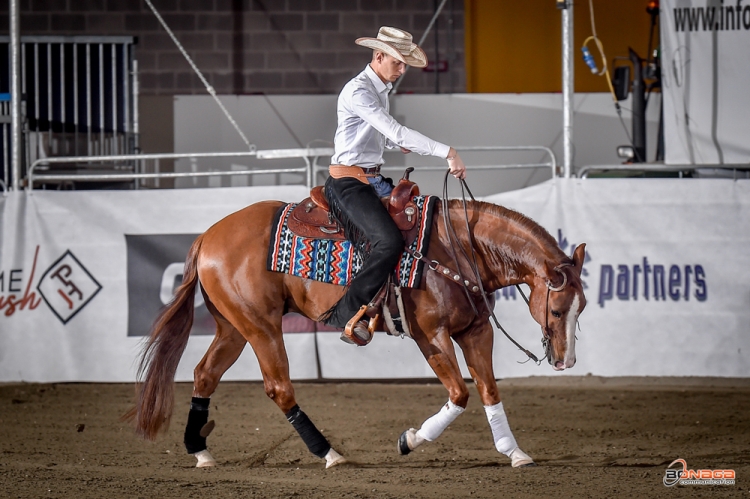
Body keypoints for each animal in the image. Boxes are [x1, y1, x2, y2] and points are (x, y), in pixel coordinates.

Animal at [128, 191, 588, 468]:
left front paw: (514, 451)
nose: (566, 361)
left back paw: (201, 451)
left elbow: (490, 391)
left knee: (204, 375)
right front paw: (410, 440)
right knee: (279, 388)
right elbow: (459, 395)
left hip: (232, 328)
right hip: (261, 328)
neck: (457, 248)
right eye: (558, 309)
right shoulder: (431, 336)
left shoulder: (476, 332)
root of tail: (207, 236)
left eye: (581, 307)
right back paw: (329, 453)